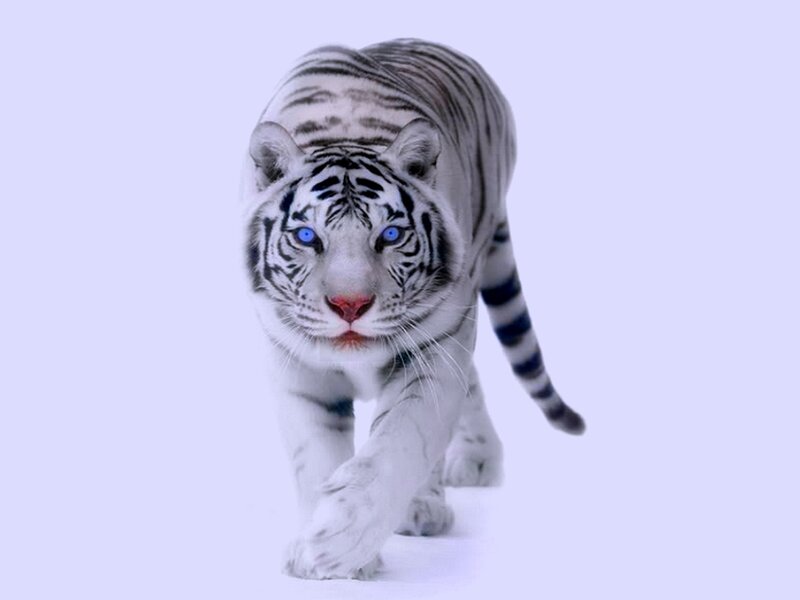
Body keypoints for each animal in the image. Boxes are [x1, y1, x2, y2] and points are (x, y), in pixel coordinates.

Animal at [242, 38, 585, 580]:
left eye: (390, 235)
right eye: (307, 237)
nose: (350, 305)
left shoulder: (433, 352)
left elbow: (401, 443)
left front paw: (340, 540)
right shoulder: (297, 365)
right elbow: (315, 454)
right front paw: (319, 555)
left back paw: (441, 493)